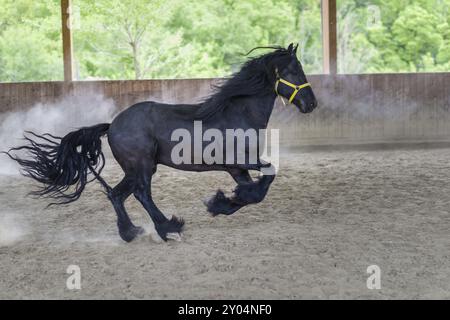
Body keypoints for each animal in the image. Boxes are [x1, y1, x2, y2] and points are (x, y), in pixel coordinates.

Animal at [5, 43, 318, 242]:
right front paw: (220, 202)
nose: (311, 104)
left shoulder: (236, 168)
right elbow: (268, 176)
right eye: (294, 71)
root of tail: (113, 124)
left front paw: (221, 204)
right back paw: (168, 228)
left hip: (136, 169)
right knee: (142, 194)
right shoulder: (239, 161)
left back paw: (131, 232)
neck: (237, 112)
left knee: (116, 195)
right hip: (142, 166)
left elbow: (254, 192)